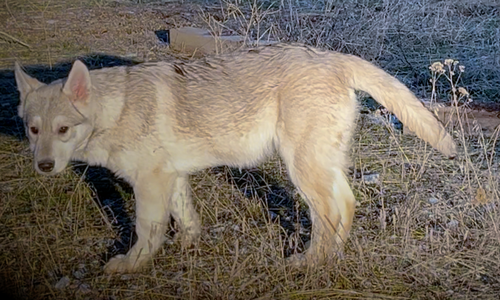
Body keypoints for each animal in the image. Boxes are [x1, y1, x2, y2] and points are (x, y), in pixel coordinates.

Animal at [14, 43, 458, 274]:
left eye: (63, 130)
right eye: (33, 130)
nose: (44, 166)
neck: (115, 108)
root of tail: (329, 56)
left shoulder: (149, 182)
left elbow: (146, 230)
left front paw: (131, 264)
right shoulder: (171, 177)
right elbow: (186, 218)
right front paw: (188, 245)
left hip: (301, 168)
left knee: (331, 212)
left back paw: (310, 262)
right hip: (318, 166)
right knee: (345, 205)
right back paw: (330, 258)